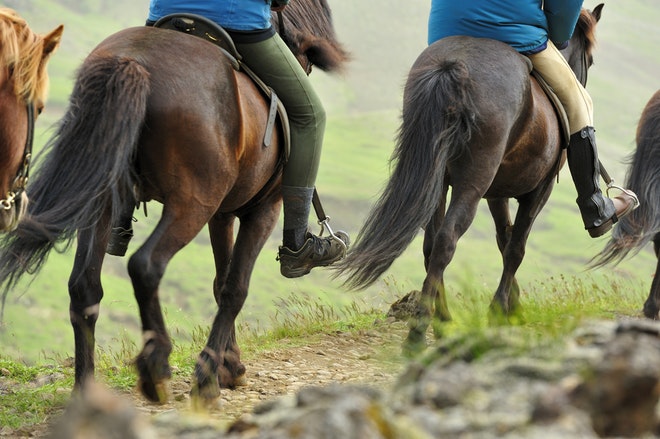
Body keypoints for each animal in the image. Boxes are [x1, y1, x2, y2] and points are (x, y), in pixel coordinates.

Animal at [336, 4, 604, 354]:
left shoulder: (497, 193)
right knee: (446, 241)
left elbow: (504, 240)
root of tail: (453, 66)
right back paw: (419, 334)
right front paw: (500, 312)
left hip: (437, 184)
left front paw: (513, 308)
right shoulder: (538, 191)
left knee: (431, 244)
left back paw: (444, 324)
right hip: (473, 182)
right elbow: (516, 248)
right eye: (591, 59)